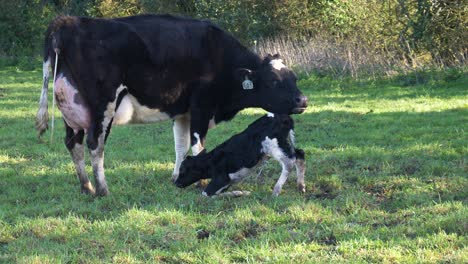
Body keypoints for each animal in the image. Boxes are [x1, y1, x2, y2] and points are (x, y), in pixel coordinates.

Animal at [174, 113, 306, 196]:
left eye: (183, 171)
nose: (176, 183)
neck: (210, 162)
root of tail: (282, 116)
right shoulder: (227, 182)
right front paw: (241, 193)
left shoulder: (221, 178)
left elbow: (206, 193)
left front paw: (240, 193)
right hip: (283, 144)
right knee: (300, 155)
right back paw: (301, 186)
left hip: (273, 146)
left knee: (289, 162)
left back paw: (276, 190)